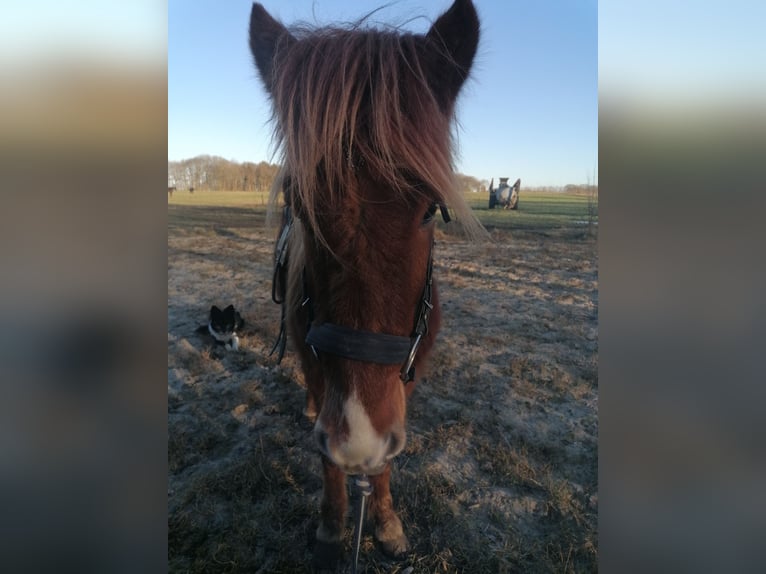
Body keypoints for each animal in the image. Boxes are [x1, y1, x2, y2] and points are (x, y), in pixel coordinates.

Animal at [249, 0, 481, 568]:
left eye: (430, 210)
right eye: (300, 206)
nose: (358, 436)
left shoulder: (408, 370)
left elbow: (387, 457)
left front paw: (386, 519)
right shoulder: (320, 367)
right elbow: (328, 455)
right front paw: (334, 525)